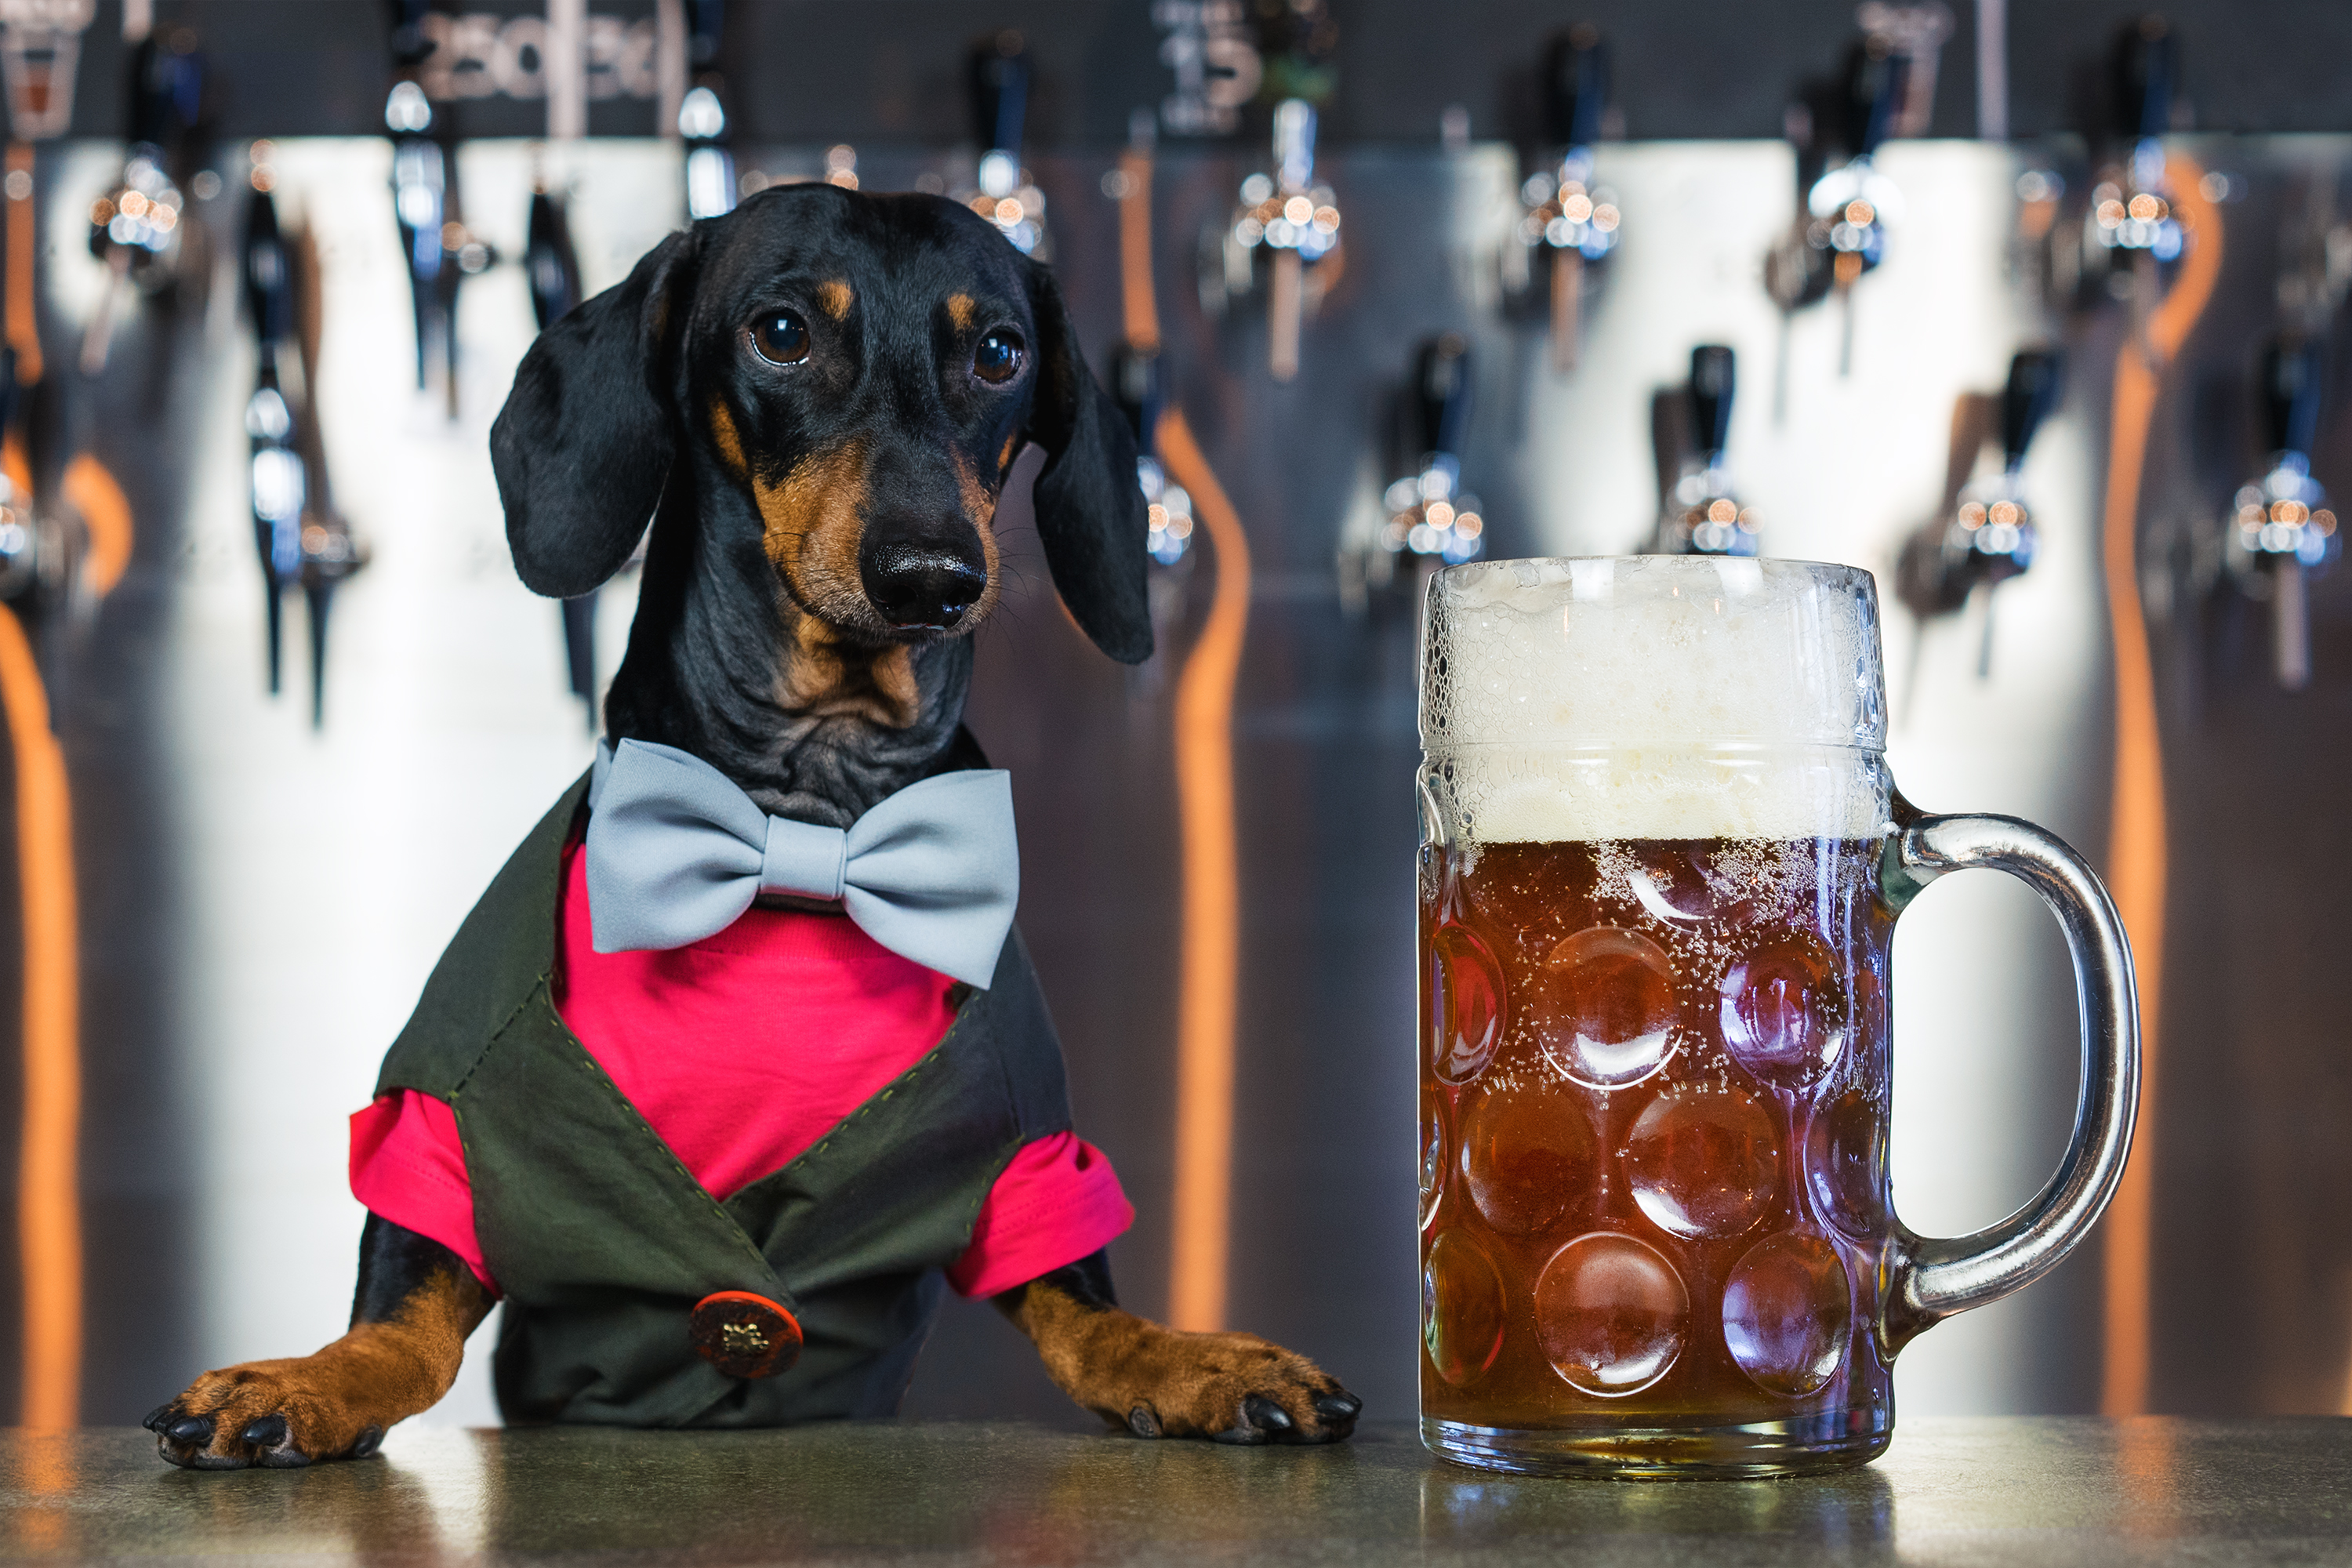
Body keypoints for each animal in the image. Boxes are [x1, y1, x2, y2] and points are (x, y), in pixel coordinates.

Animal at [142, 187, 1364, 1476]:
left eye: (999, 353)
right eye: (781, 333)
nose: (932, 574)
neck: (805, 827)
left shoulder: (1027, 1141)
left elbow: (1089, 1313)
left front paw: (1199, 1361)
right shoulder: (450, 1112)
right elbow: (407, 1319)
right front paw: (311, 1380)